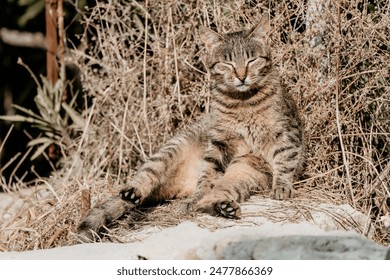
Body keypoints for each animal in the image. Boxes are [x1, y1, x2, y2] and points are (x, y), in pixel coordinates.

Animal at [77, 17, 306, 241]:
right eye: (227, 63)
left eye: (252, 60)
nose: (242, 76)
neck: (242, 101)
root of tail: (182, 184)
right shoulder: (219, 141)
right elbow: (208, 174)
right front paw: (200, 191)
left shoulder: (286, 133)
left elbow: (285, 162)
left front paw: (282, 187)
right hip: (170, 150)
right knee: (149, 176)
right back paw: (138, 192)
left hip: (244, 169)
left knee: (217, 193)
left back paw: (223, 206)